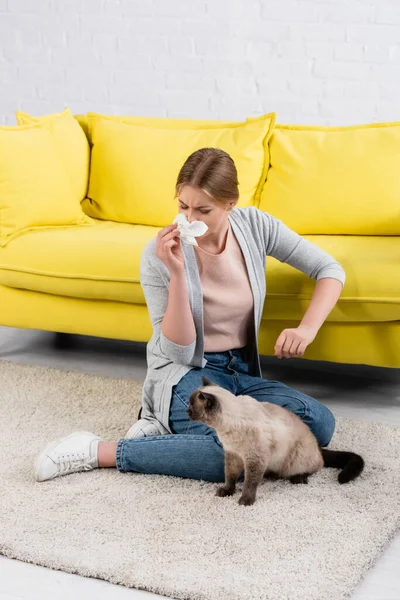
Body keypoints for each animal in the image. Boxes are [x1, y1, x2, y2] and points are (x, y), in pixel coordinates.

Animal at [187, 380, 362, 506]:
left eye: (191, 405)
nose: (186, 411)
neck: (225, 430)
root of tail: (317, 445)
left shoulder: (254, 459)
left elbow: (250, 483)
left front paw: (245, 501)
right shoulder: (232, 455)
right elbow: (229, 476)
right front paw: (227, 491)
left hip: (297, 458)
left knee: (316, 467)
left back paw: (298, 478)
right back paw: (271, 475)